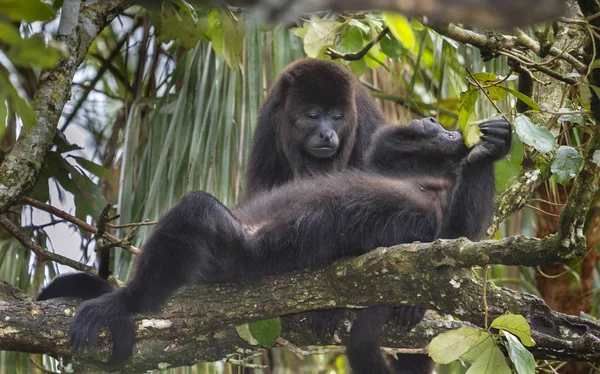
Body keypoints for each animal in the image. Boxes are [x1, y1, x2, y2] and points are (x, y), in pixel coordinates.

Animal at [45, 116, 510, 372]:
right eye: (443, 127)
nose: (441, 125)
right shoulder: (395, 164)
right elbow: (378, 153)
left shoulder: (431, 219)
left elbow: (449, 241)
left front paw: (491, 151)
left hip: (238, 254)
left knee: (197, 212)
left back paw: (125, 303)